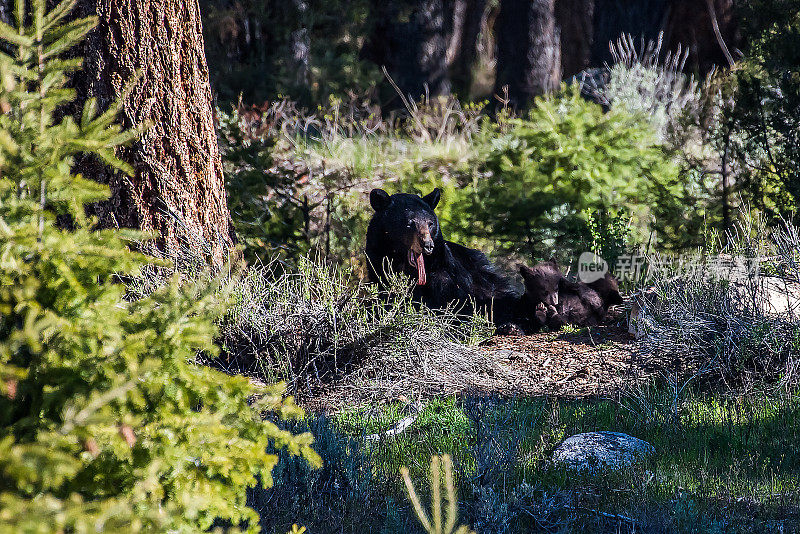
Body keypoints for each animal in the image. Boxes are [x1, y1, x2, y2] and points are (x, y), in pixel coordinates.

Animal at [368, 188, 520, 326]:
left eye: (430, 223)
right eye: (410, 223)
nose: (428, 245)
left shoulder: (445, 270)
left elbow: (455, 298)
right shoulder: (378, 262)